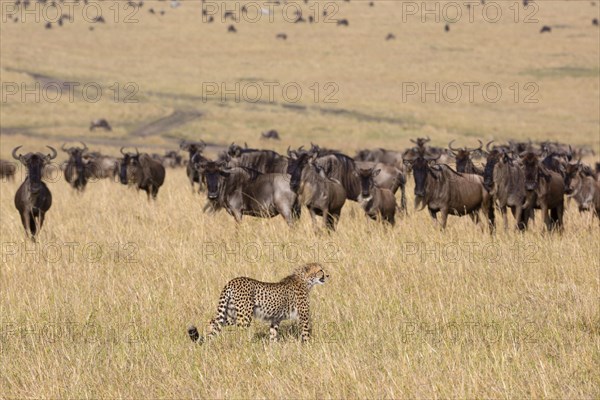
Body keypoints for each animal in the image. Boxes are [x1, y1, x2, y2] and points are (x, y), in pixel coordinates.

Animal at [188, 262, 328, 344]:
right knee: (240, 332)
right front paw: (308, 347)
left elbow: (273, 334)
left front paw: (274, 349)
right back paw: (245, 348)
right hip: (244, 317)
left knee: (213, 321)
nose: (328, 275)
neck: (305, 280)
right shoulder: (303, 317)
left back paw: (209, 340)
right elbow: (306, 333)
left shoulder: (275, 319)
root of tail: (232, 281)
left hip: (231, 314)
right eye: (320, 270)